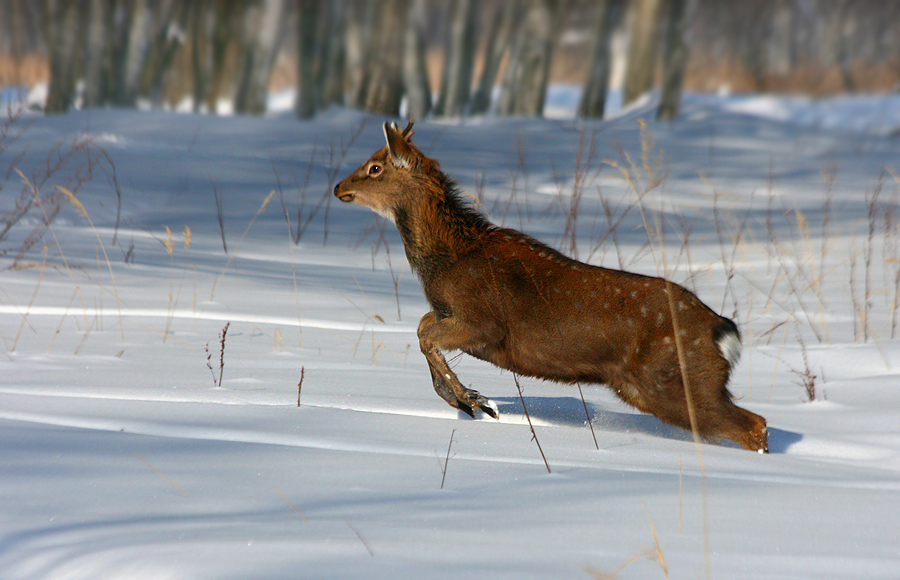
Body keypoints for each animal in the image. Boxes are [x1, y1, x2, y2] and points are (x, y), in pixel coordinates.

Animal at [334, 119, 768, 454]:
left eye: (375, 167)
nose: (339, 187)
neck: (449, 259)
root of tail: (721, 329)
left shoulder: (483, 322)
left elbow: (425, 335)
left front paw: (476, 400)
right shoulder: (448, 314)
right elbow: (423, 328)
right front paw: (468, 400)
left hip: (674, 378)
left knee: (754, 425)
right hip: (649, 386)